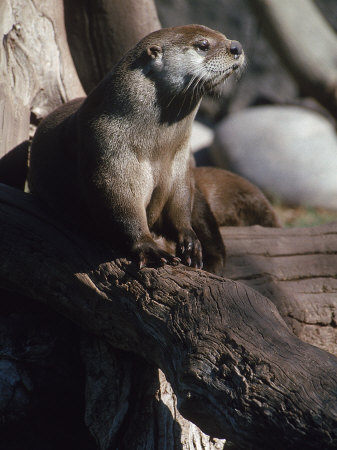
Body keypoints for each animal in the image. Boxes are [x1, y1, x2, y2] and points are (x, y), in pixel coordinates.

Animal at [28, 27, 244, 274]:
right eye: (203, 45)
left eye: (223, 35)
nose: (236, 46)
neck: (157, 148)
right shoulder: (108, 153)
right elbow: (121, 207)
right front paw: (149, 247)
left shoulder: (180, 167)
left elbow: (181, 204)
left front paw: (190, 242)